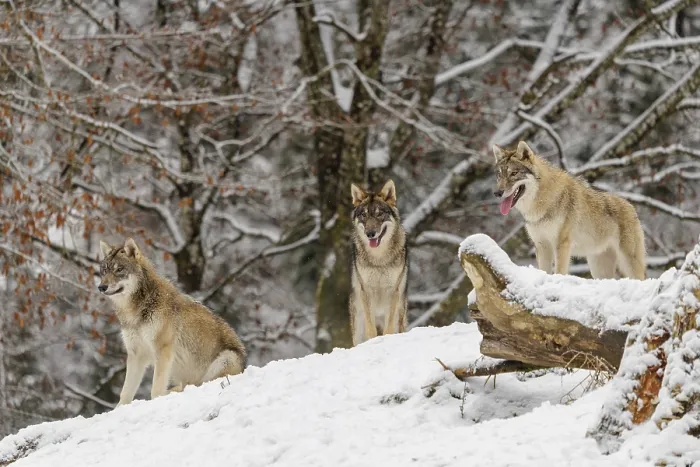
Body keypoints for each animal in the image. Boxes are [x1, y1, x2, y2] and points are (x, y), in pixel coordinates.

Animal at [98, 238, 246, 406]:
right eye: (104, 271)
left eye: (119, 269)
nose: (101, 287)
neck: (135, 310)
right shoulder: (136, 354)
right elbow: (125, 394)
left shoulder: (163, 350)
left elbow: (156, 389)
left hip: (226, 359)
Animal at [349, 179, 409, 346]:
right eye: (364, 215)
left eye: (379, 214)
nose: (370, 234)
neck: (379, 259)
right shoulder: (366, 291)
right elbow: (371, 331)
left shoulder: (393, 291)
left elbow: (389, 329)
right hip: (358, 322)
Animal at [492, 141, 646, 280]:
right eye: (499, 174)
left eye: (514, 173)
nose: (497, 193)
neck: (541, 203)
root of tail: (631, 206)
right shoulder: (541, 246)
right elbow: (544, 271)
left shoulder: (562, 244)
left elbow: (559, 271)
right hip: (598, 268)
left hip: (629, 263)